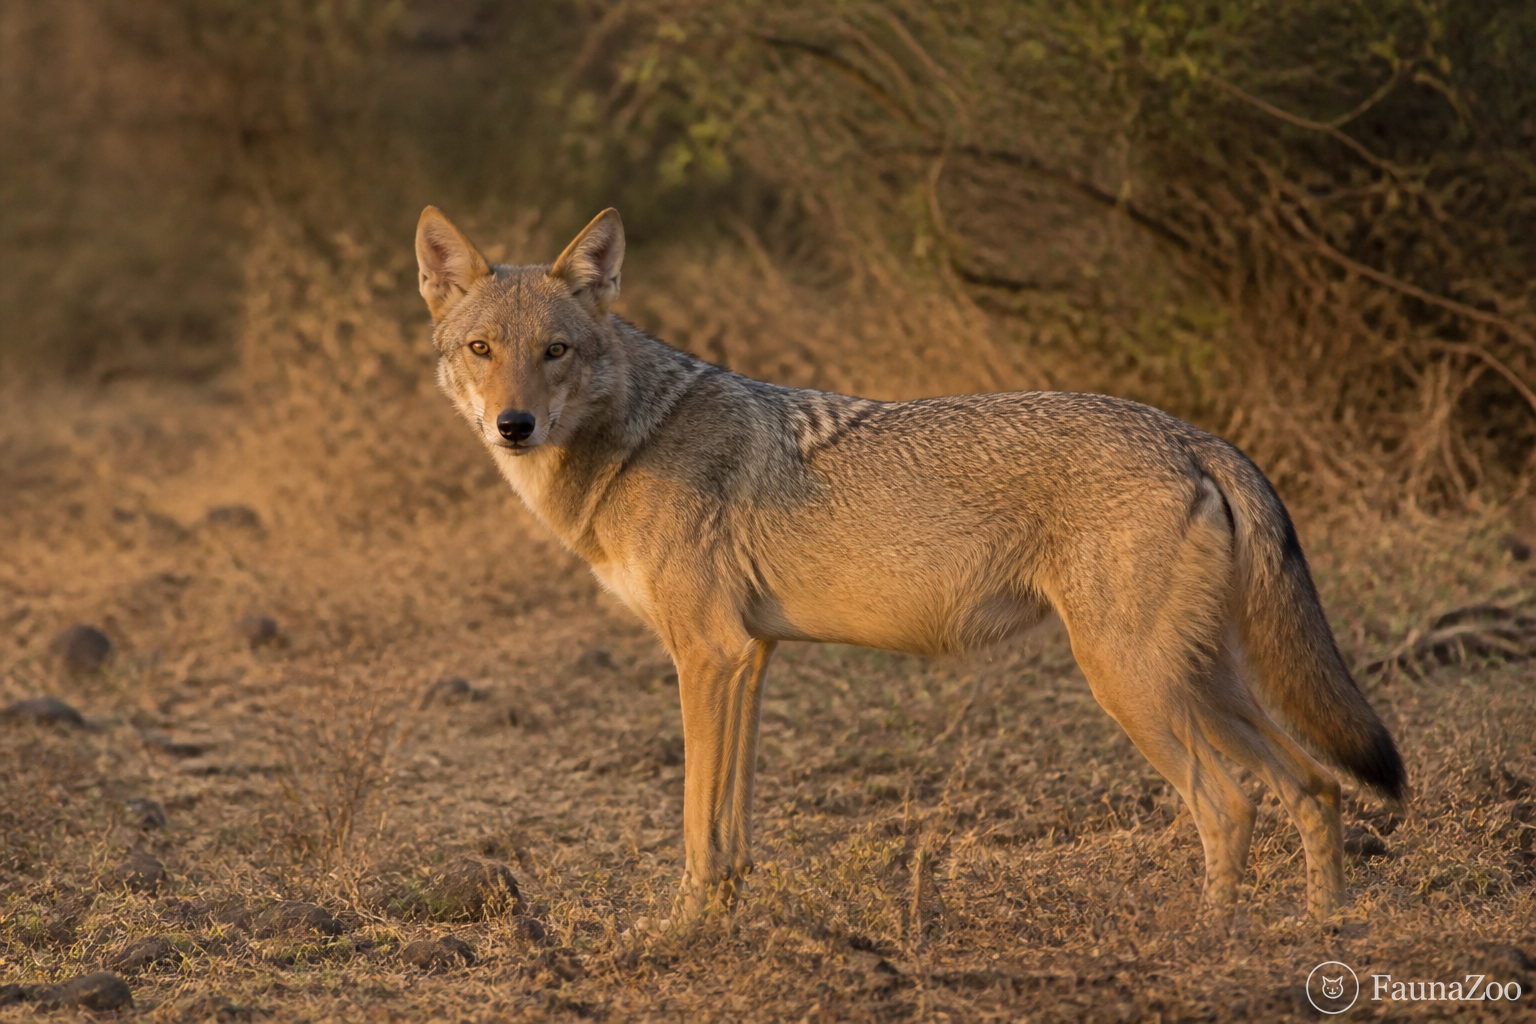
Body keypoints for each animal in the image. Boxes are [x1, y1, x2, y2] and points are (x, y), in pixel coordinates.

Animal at [414, 205, 1406, 923]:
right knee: (1316, 787)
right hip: (1204, 682)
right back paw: (1319, 935)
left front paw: (676, 936)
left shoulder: (709, 656)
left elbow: (697, 825)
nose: (513, 425)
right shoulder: (748, 659)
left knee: (1229, 807)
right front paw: (725, 924)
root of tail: (1194, 436)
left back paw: (1205, 945)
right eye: (481, 350)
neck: (631, 442)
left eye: (556, 351)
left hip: (1134, 685)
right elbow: (731, 826)